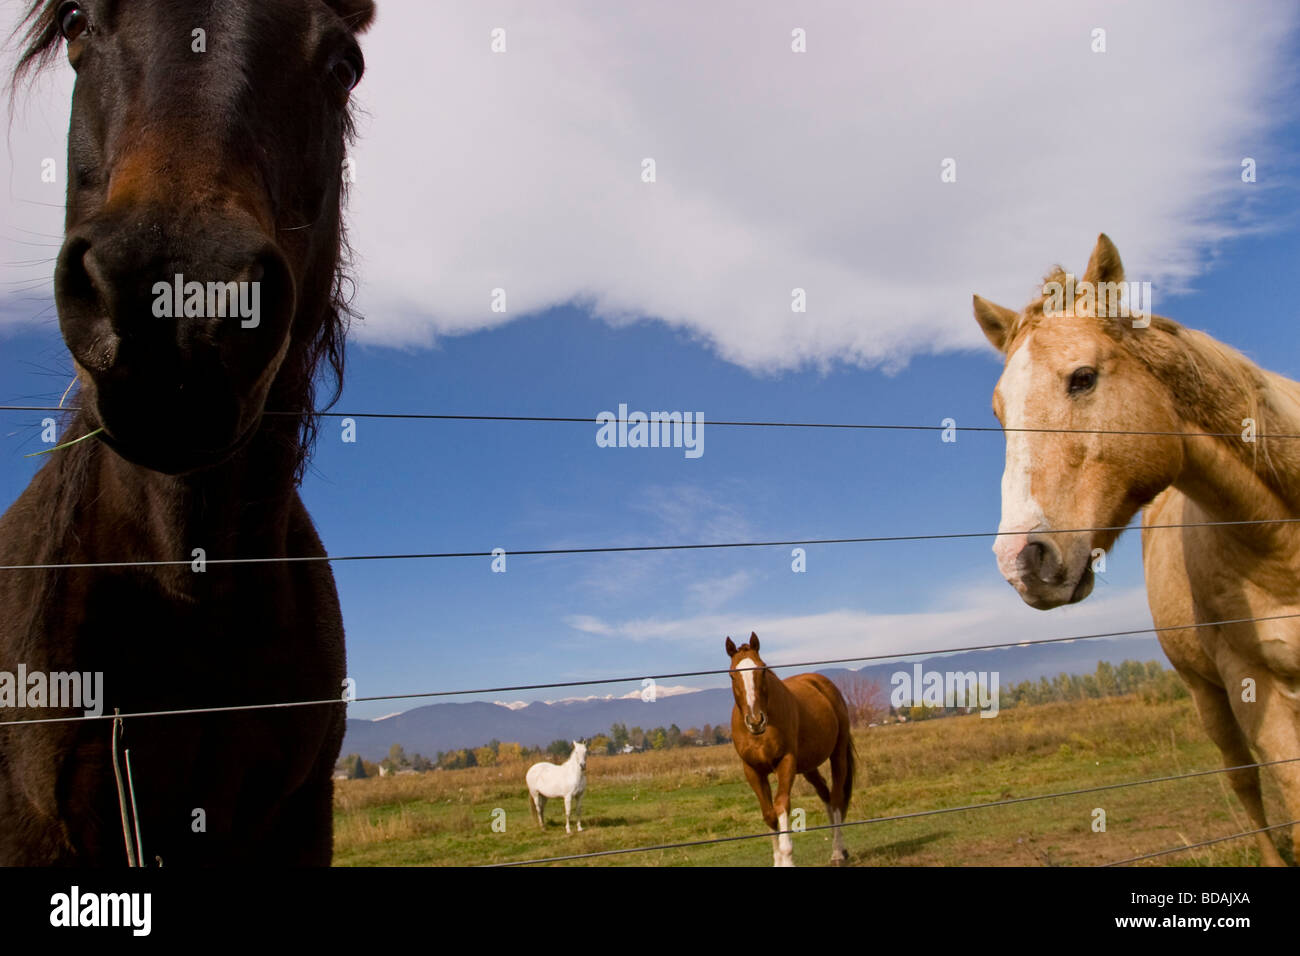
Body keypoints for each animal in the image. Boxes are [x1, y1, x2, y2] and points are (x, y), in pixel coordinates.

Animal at [722, 634, 852, 868]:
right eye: (731, 675)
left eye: (763, 669)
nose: (756, 721)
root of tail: (821, 683)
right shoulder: (753, 770)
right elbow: (768, 813)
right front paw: (778, 860)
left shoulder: (785, 762)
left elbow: (781, 805)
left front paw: (787, 857)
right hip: (809, 767)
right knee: (826, 794)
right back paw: (841, 848)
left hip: (837, 754)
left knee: (836, 797)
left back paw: (837, 851)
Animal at [977, 234, 1300, 868]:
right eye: (1000, 413)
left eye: (1082, 378)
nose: (1021, 561)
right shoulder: (1255, 686)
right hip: (1207, 693)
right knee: (1243, 780)